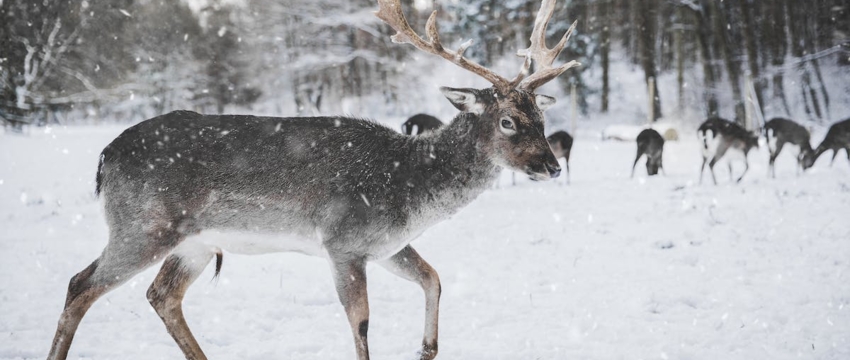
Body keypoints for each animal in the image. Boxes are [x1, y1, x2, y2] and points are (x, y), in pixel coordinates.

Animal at [44, 0, 576, 360]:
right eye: (507, 121)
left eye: (540, 117)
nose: (551, 166)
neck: (409, 189)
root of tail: (105, 157)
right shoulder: (344, 240)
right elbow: (361, 323)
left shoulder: (386, 244)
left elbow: (434, 278)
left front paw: (426, 348)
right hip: (143, 225)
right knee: (79, 283)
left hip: (193, 242)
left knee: (162, 295)